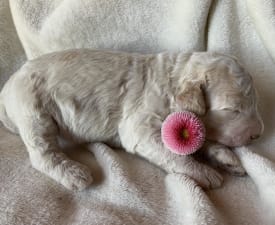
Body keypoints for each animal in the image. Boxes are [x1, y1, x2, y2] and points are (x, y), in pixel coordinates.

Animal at [0, 49, 264, 190]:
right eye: (233, 109)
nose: (258, 134)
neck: (173, 78)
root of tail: (7, 87)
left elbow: (202, 139)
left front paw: (226, 158)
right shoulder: (141, 126)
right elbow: (175, 155)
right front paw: (205, 172)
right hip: (33, 109)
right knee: (42, 153)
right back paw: (73, 173)